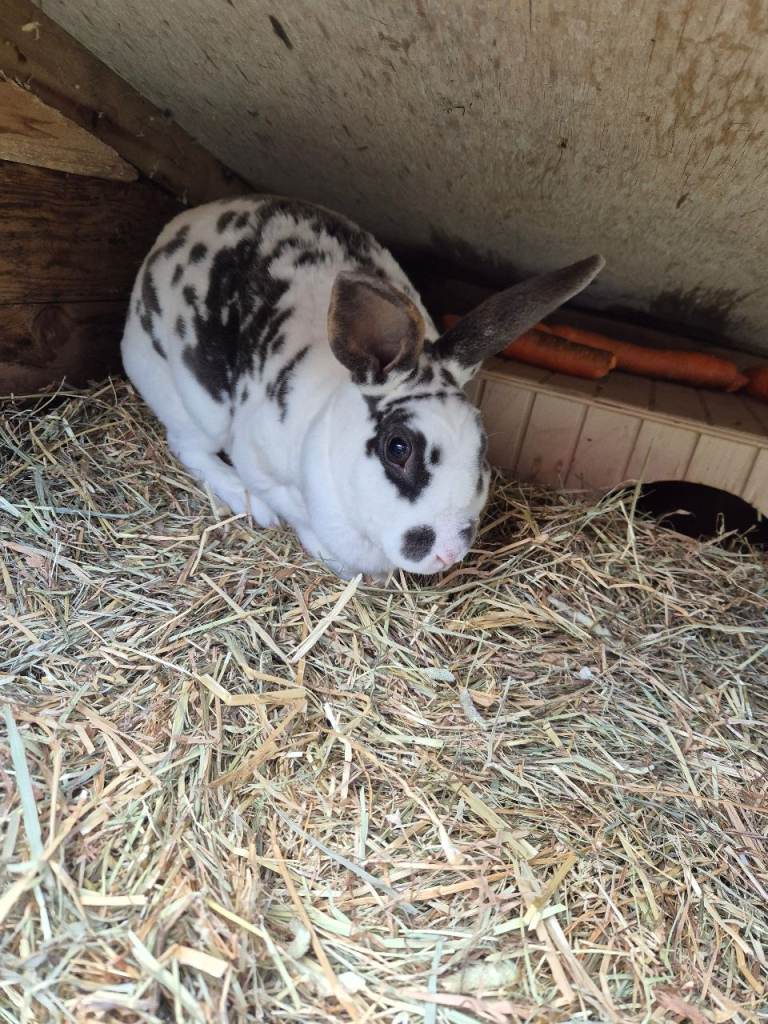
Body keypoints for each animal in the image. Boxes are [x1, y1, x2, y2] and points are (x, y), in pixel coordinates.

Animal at [121, 196, 604, 579]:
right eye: (397, 447)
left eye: (482, 447)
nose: (448, 552)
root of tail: (172, 231)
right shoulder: (256, 457)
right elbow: (292, 510)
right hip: (190, 403)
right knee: (188, 446)